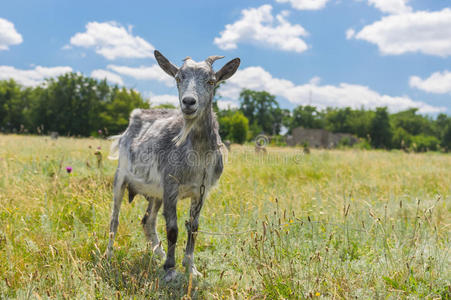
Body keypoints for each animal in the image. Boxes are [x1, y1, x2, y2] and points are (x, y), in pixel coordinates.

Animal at [106, 49, 240, 282]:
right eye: (178, 78)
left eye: (211, 81)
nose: (189, 102)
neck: (197, 155)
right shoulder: (171, 187)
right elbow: (173, 229)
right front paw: (170, 269)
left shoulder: (200, 192)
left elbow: (193, 228)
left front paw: (191, 267)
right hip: (120, 177)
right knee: (115, 219)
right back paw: (109, 254)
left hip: (155, 191)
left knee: (147, 221)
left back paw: (157, 252)